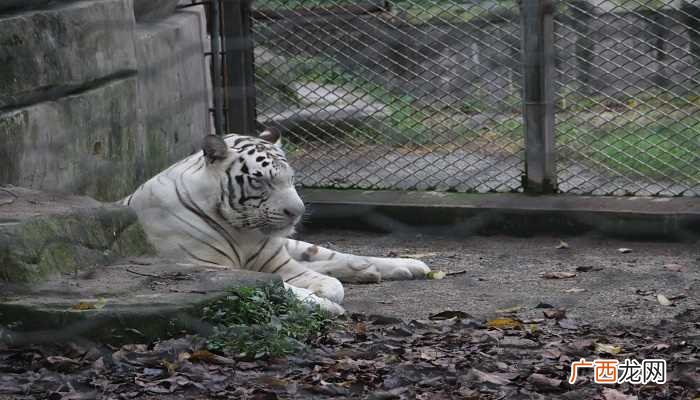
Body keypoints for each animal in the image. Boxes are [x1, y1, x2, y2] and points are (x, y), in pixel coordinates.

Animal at [122, 129, 430, 313]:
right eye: (260, 181)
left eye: (290, 178)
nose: (298, 211)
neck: (242, 232)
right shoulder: (208, 268)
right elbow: (291, 287)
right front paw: (324, 302)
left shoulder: (276, 260)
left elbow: (326, 282)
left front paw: (323, 291)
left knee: (333, 254)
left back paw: (401, 265)